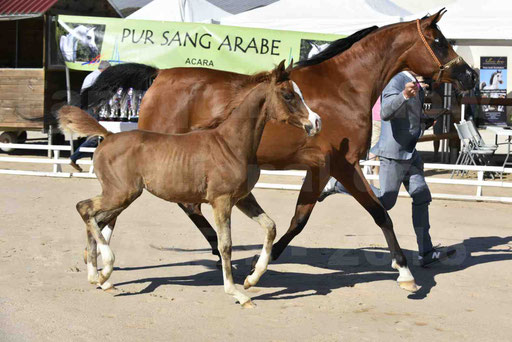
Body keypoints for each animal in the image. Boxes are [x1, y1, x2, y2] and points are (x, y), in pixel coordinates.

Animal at [60, 61, 316, 308]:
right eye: (288, 95)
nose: (315, 122)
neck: (231, 143)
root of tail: (109, 135)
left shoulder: (243, 198)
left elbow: (270, 226)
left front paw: (251, 279)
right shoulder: (221, 201)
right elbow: (225, 245)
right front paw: (237, 293)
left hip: (122, 196)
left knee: (95, 218)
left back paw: (98, 277)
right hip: (120, 193)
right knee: (85, 209)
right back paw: (105, 269)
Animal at [90, 10, 478, 292]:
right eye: (439, 41)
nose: (469, 75)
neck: (344, 86)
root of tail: (157, 75)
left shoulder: (320, 167)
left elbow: (300, 218)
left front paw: (259, 265)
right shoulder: (342, 164)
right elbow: (378, 212)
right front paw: (405, 273)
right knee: (152, 206)